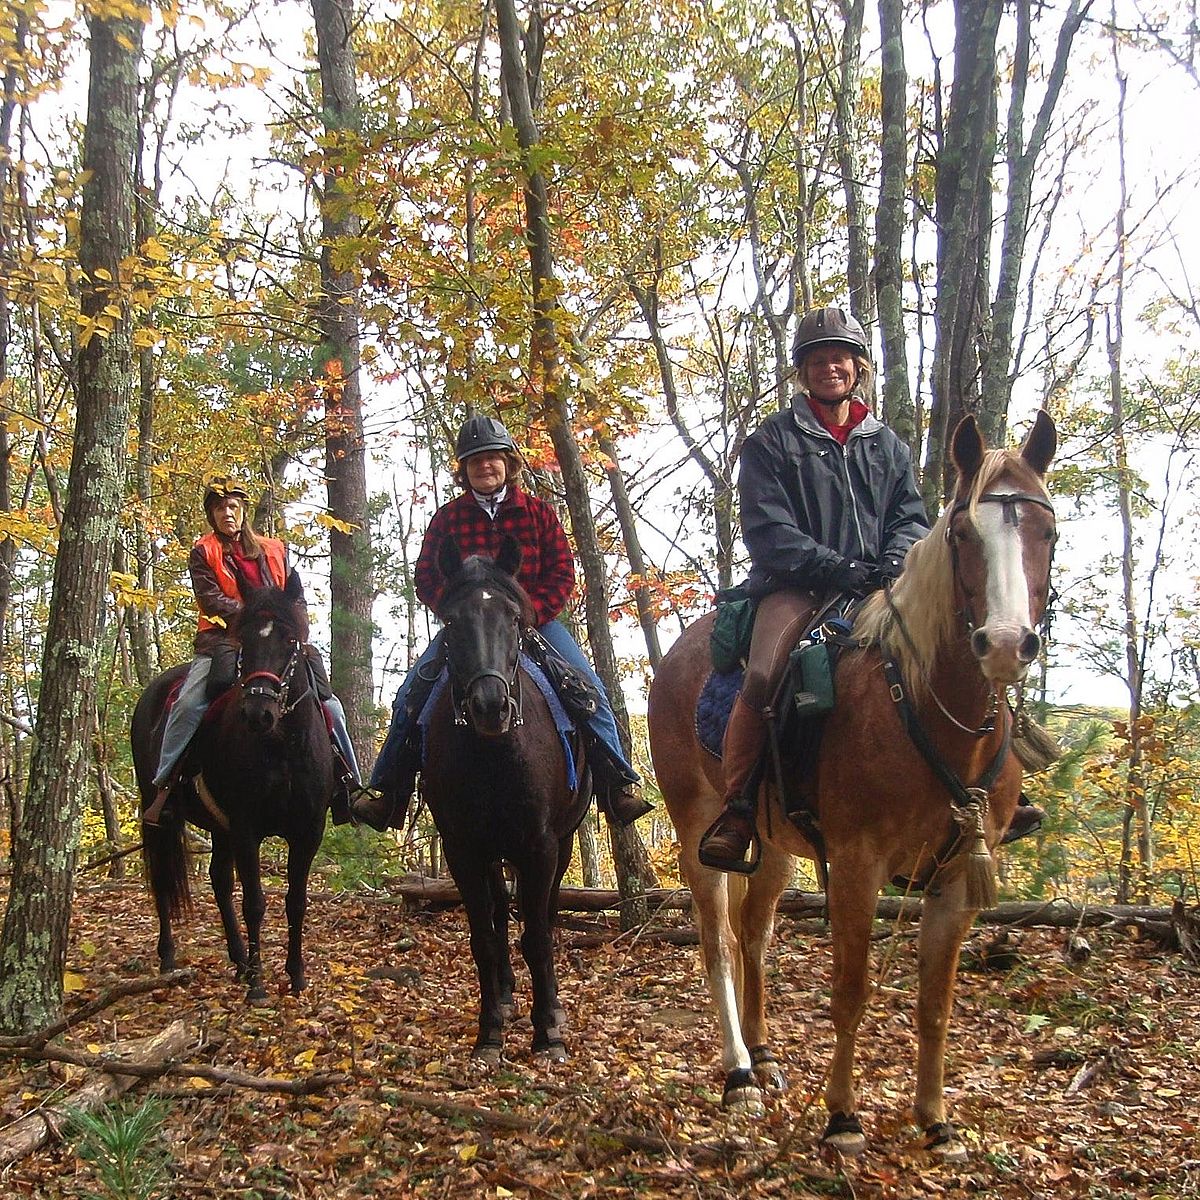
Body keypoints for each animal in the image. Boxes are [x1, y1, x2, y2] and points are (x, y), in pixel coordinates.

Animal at [130, 573, 333, 1002]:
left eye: (290, 640)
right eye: (245, 642)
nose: (258, 713)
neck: (283, 747)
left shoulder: (307, 831)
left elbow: (296, 902)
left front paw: (295, 975)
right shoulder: (245, 828)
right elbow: (254, 902)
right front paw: (258, 986)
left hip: (219, 827)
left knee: (220, 882)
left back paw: (239, 960)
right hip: (160, 810)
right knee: (163, 877)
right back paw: (170, 956)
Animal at [419, 535, 590, 1065]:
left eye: (514, 619)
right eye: (451, 622)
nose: (490, 707)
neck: (495, 754)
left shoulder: (541, 847)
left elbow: (536, 937)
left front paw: (548, 1033)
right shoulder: (463, 849)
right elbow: (485, 941)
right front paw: (490, 1033)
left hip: (562, 843)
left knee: (546, 916)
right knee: (497, 914)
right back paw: (509, 995)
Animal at [647, 412, 1057, 1160]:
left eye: (1048, 530)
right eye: (963, 533)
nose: (1006, 644)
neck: (924, 707)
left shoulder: (959, 876)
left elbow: (935, 1002)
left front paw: (936, 1121)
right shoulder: (859, 864)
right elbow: (851, 991)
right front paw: (841, 1117)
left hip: (771, 847)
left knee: (754, 936)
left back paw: (765, 1054)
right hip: (696, 830)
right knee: (717, 944)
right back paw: (739, 1074)